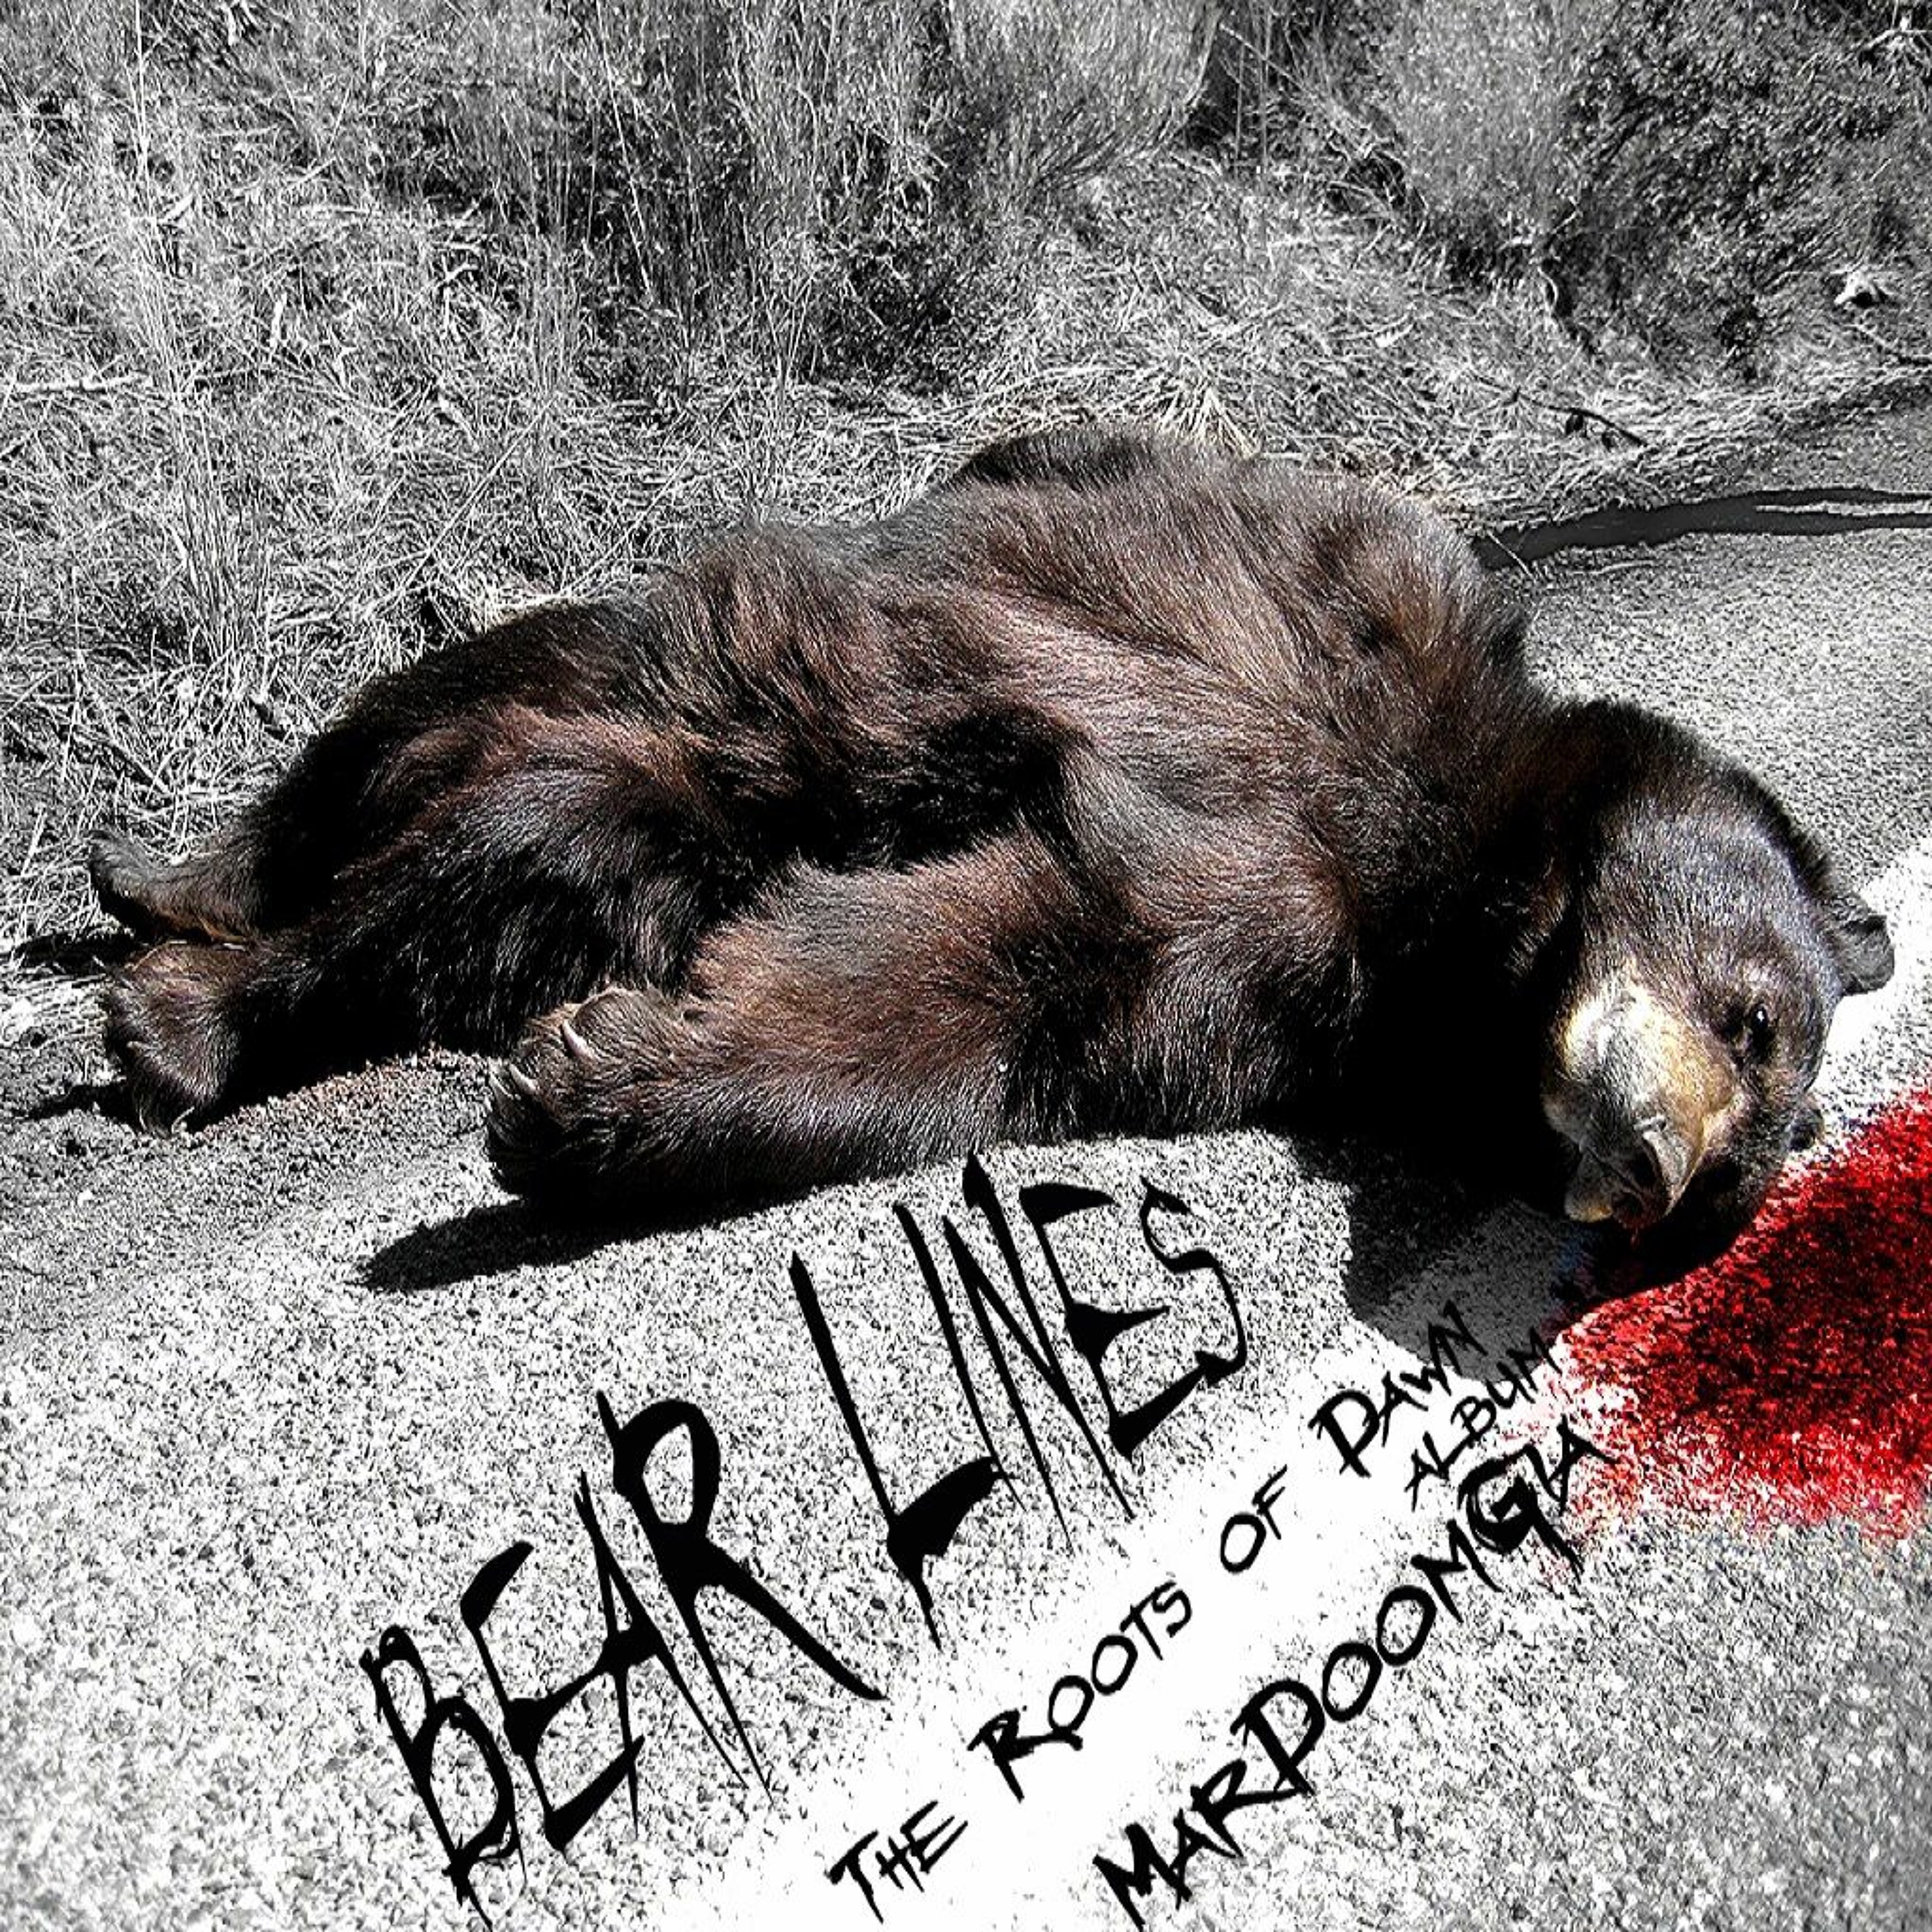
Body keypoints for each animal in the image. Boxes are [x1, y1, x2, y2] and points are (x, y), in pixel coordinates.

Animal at [91, 426, 1893, 1259]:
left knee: (536, 848)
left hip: (693, 792)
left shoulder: (1268, 953)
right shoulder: (1358, 595)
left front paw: (587, 1088)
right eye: (1756, 1019)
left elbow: (989, 965)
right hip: (726, 673)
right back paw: (172, 926)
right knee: (484, 714)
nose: (1652, 1172)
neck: (1456, 877)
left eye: (1742, 1185)